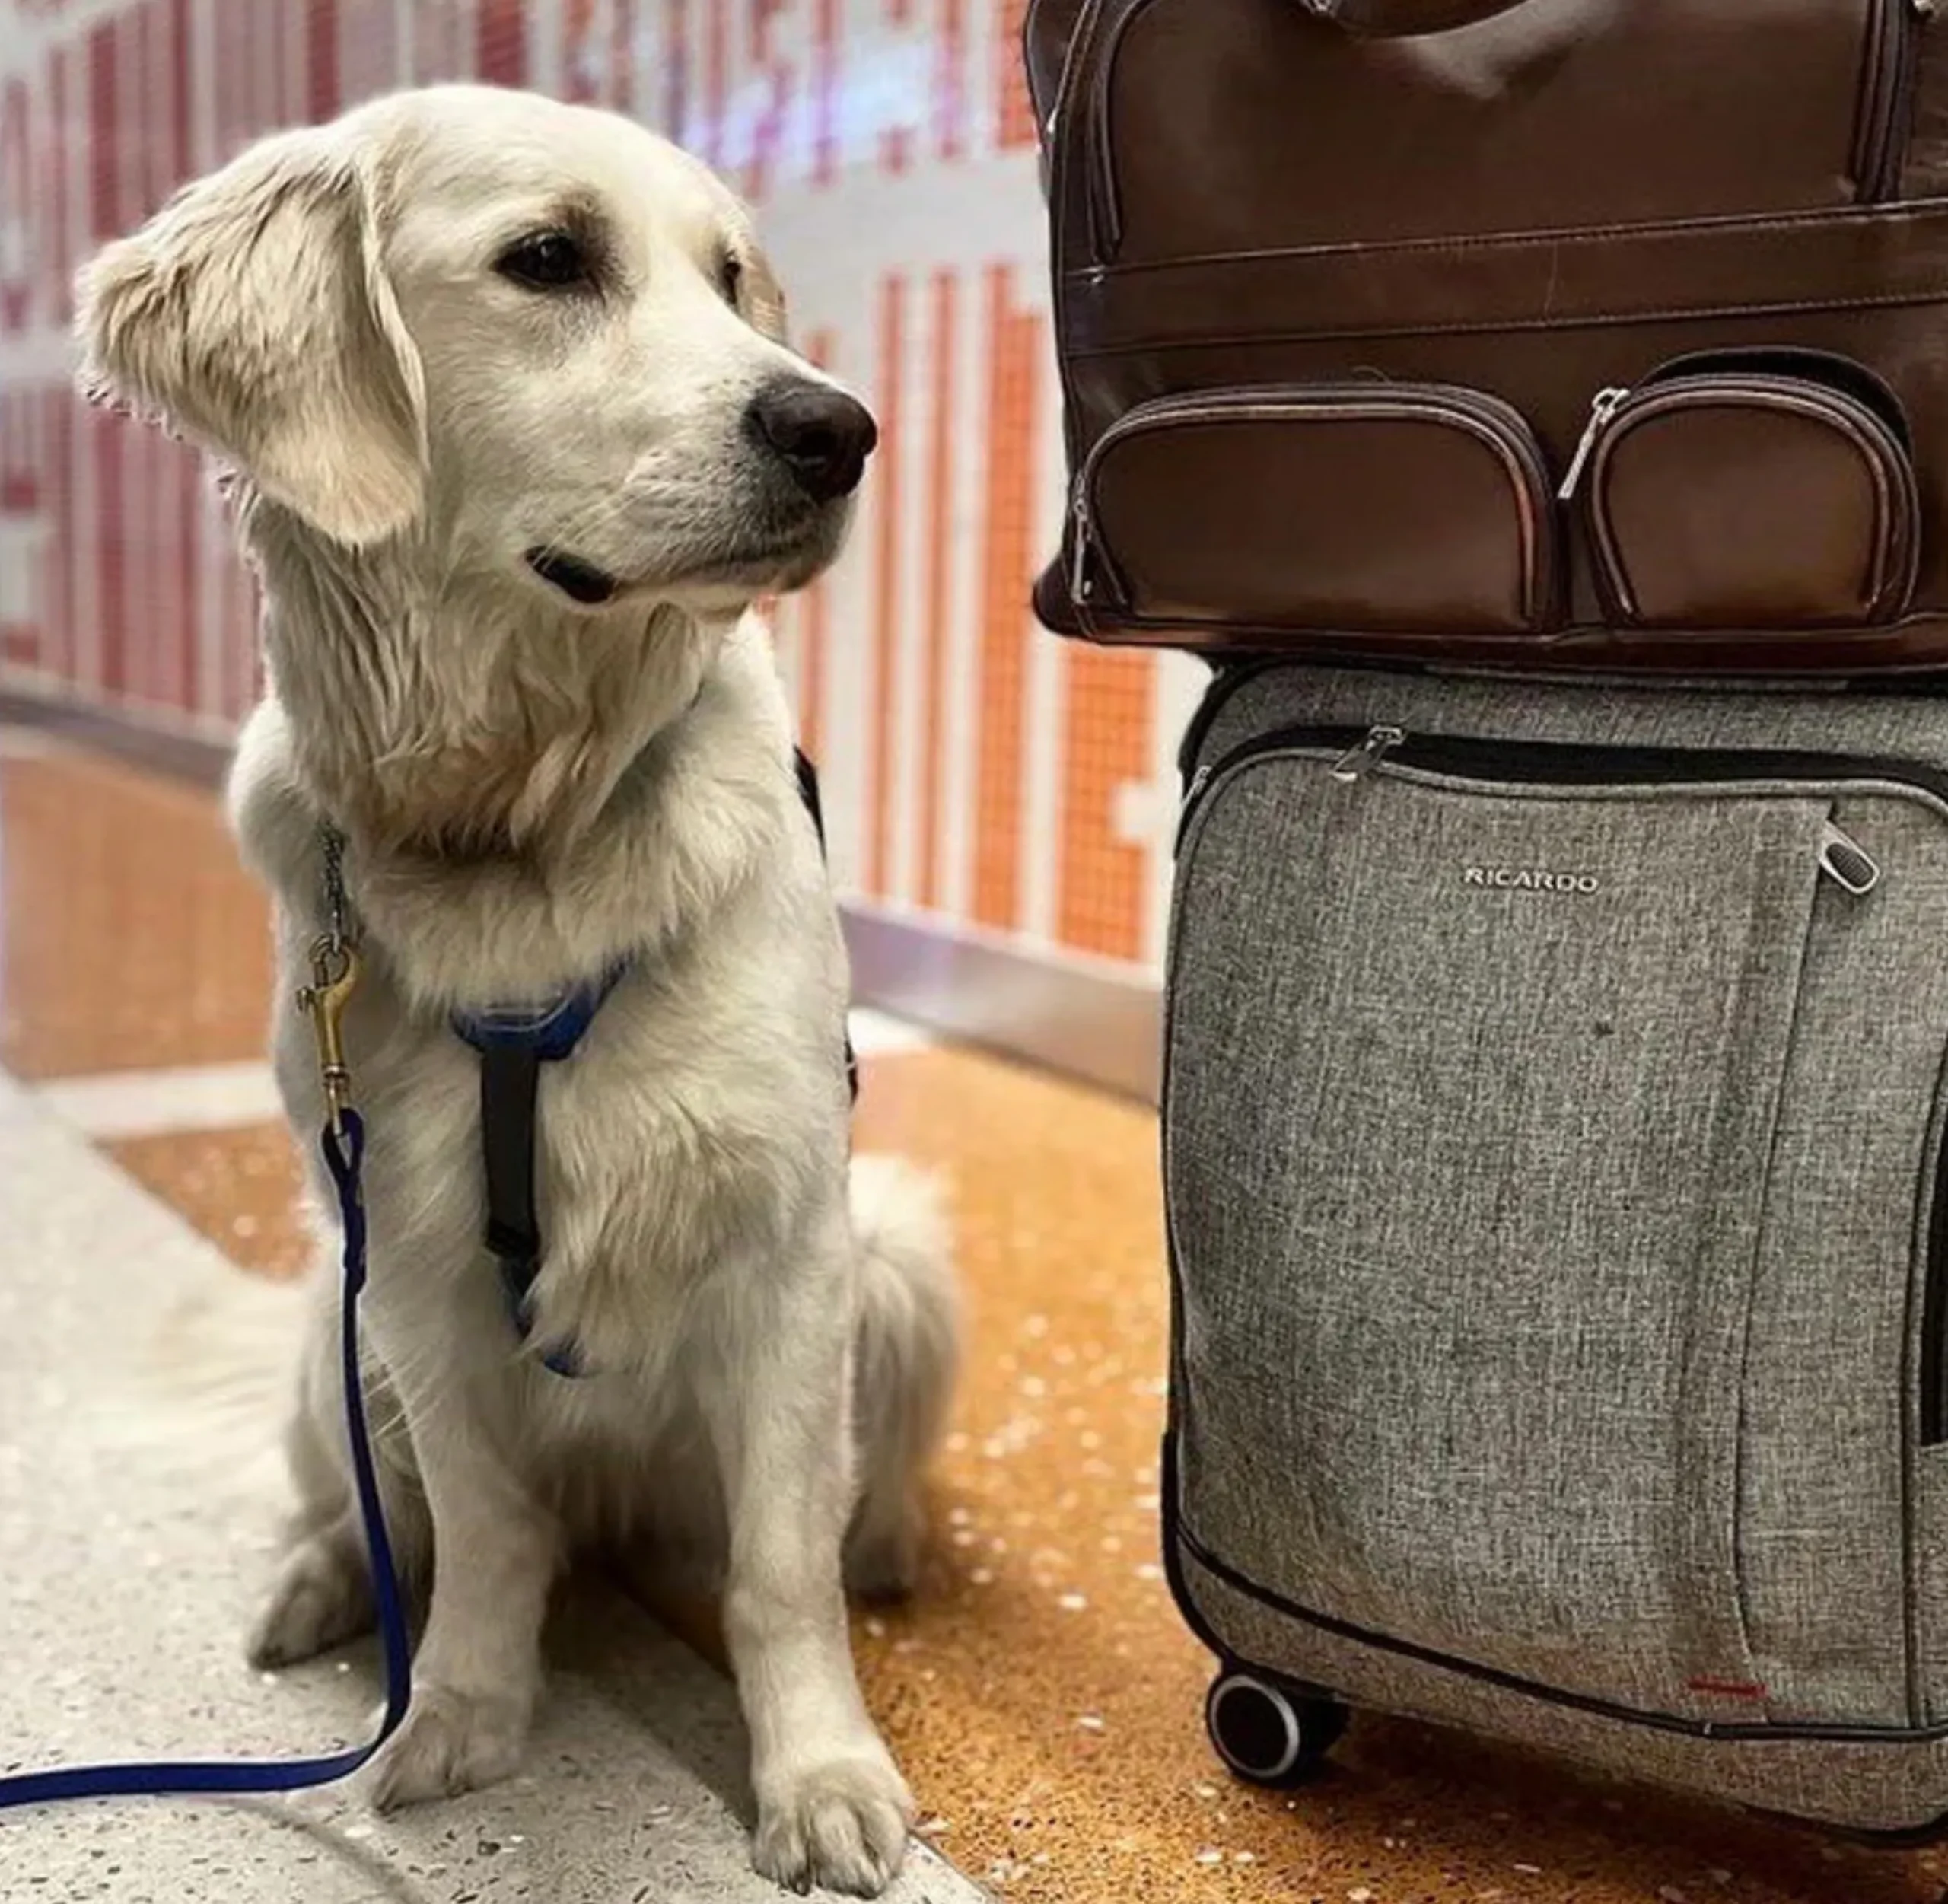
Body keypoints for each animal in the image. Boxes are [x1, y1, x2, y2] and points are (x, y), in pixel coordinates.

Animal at [75, 81, 958, 1894]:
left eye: (730, 276)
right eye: (548, 259)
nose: (838, 429)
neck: (517, 822)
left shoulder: (793, 1240)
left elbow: (779, 1568)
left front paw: (825, 1778)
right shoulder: (404, 1259)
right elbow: (482, 1534)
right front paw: (457, 1719)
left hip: (901, 1255)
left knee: (841, 1502)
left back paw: (890, 1546)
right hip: (326, 1327)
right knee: (373, 1508)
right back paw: (319, 1587)